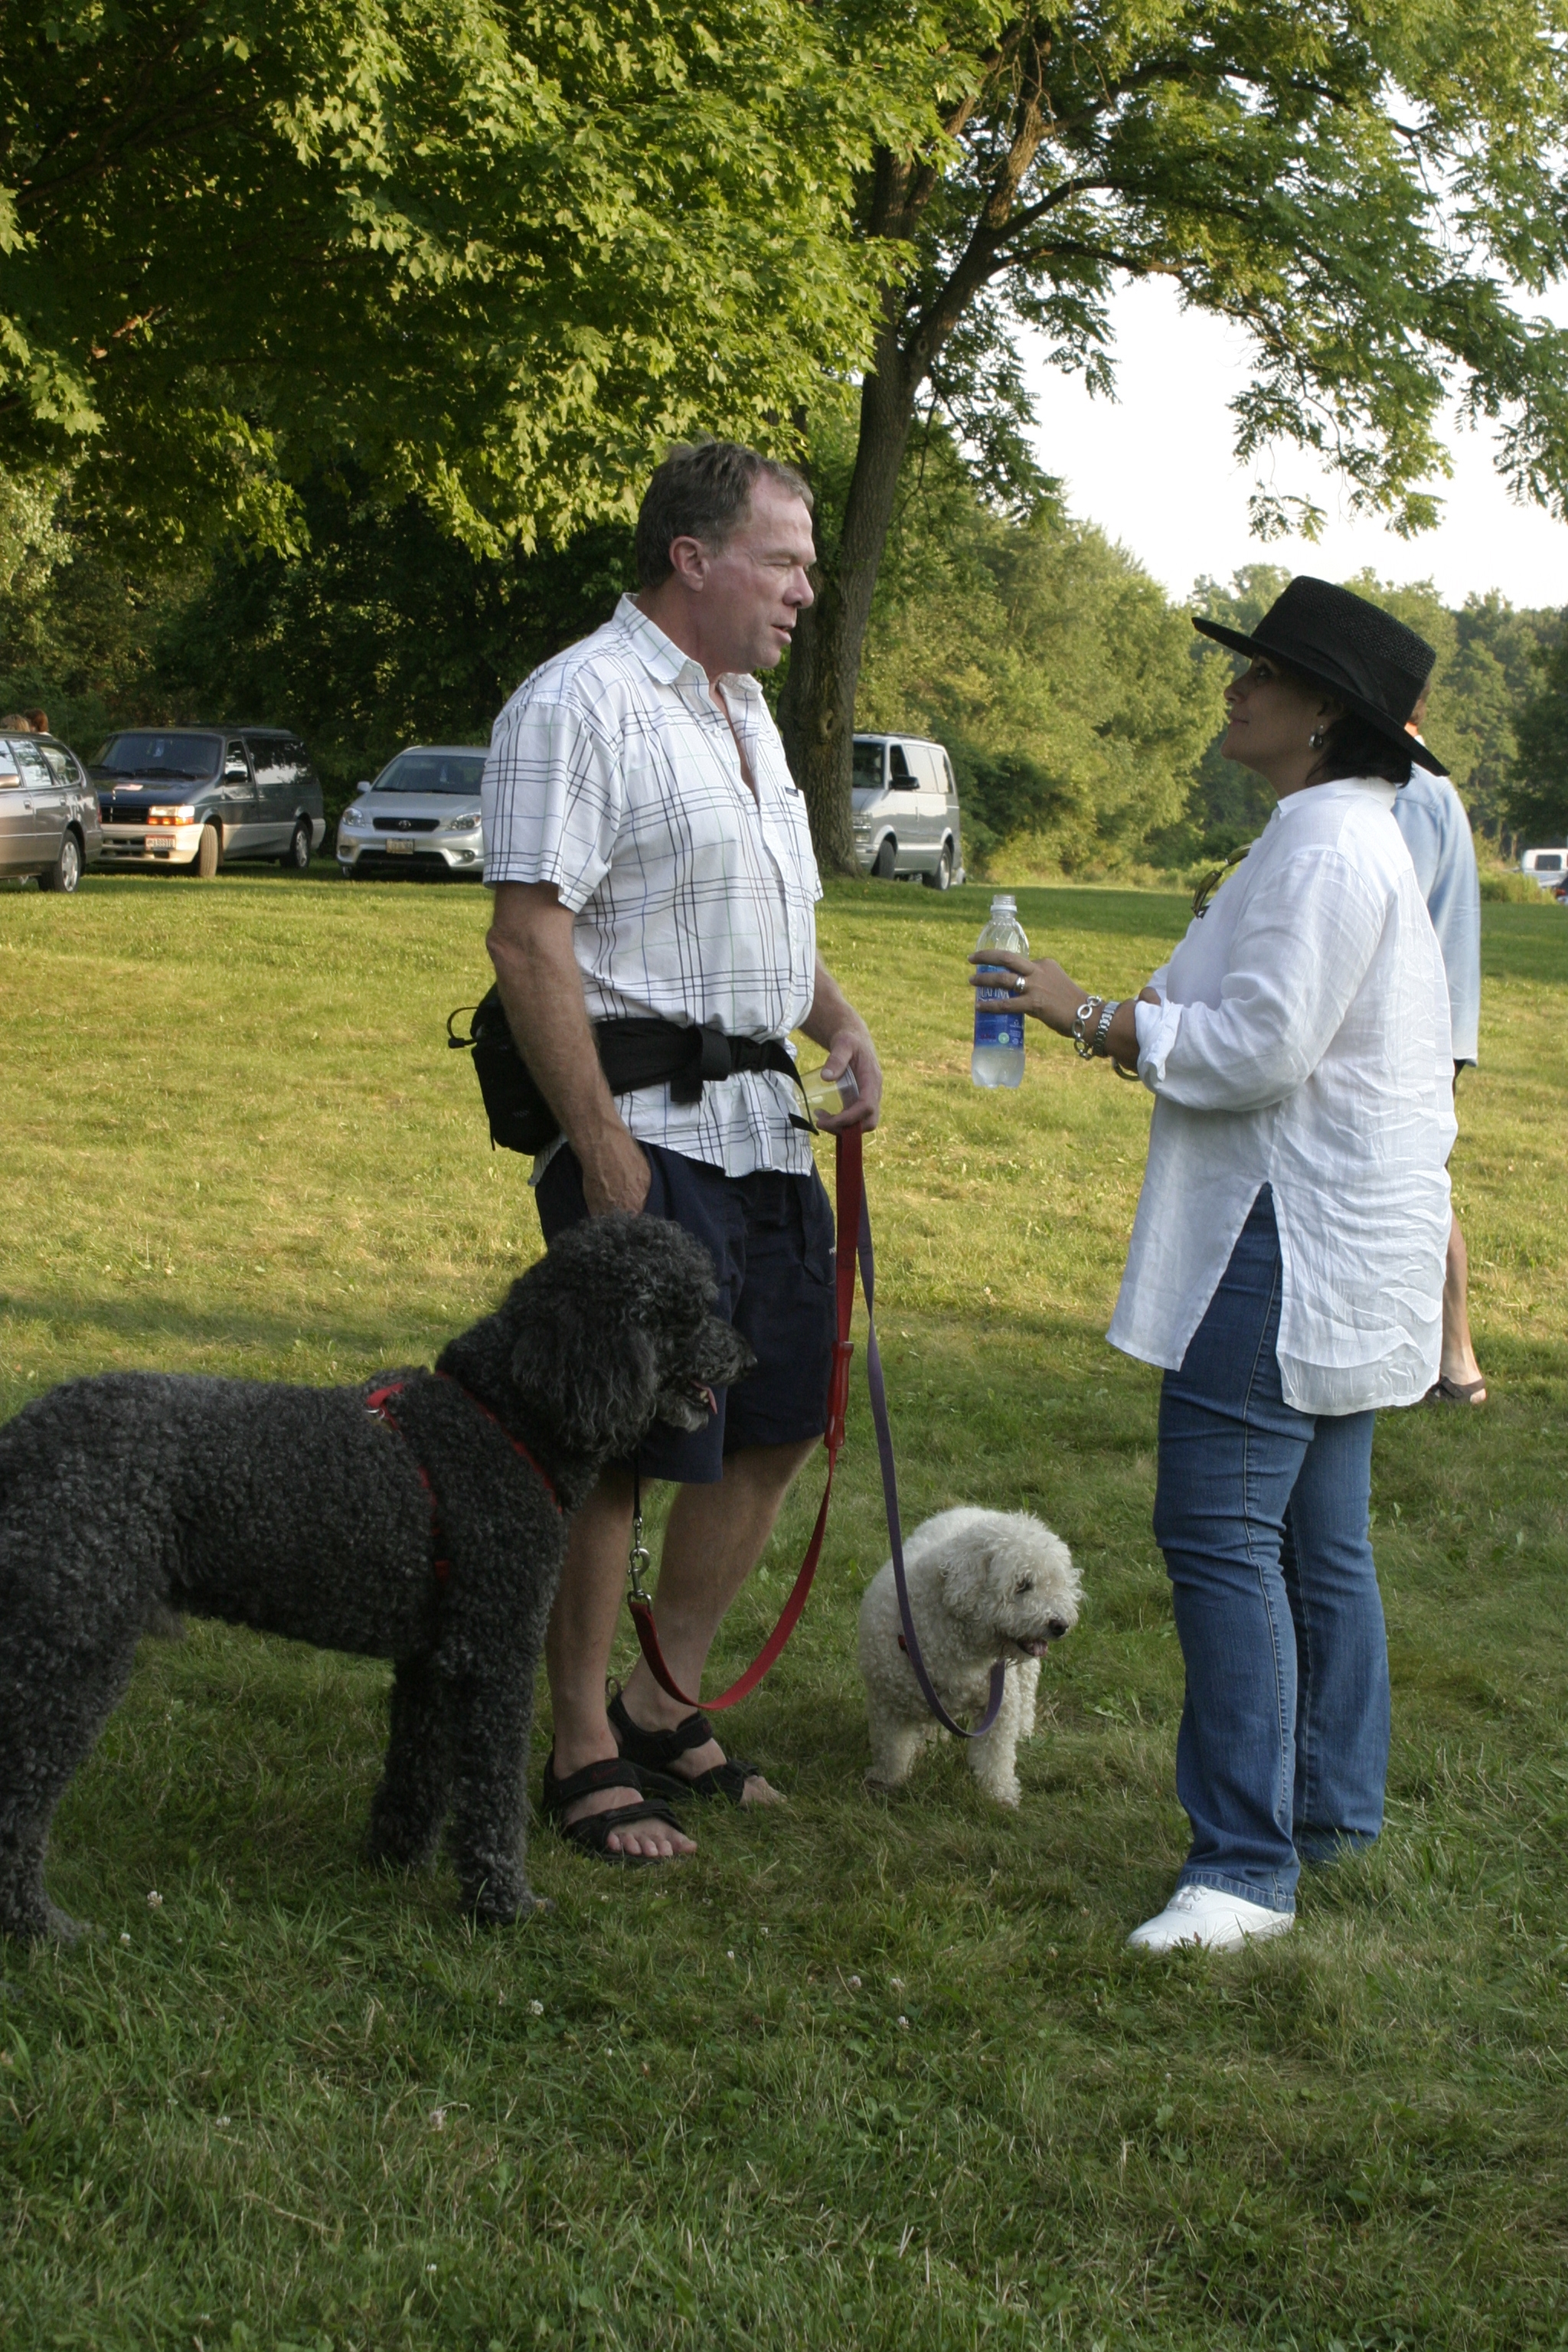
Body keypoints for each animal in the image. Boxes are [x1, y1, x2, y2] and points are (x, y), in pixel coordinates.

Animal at [0, 1214, 753, 1941]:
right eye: (682, 1314)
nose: (747, 1355)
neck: (502, 1415)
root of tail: (21, 1438)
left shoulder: (433, 1660)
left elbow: (417, 1769)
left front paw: (397, 1863)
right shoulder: (496, 1653)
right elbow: (493, 1794)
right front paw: (503, 1903)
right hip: (73, 1653)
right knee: (18, 1809)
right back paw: (42, 1928)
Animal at [858, 1507, 1080, 1807]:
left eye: (1056, 1582)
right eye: (1022, 1585)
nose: (1061, 1625)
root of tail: (984, 1510)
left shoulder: (999, 1703)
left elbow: (995, 1755)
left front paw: (999, 1794)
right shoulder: (887, 1702)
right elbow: (891, 1747)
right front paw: (887, 1780)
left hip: (1023, 1674)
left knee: (1026, 1692)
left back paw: (1023, 1730)